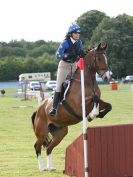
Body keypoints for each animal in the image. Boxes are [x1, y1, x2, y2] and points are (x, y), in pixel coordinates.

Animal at [30, 42, 111, 171]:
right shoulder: (79, 106)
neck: (86, 81)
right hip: (41, 132)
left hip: (60, 132)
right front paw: (92, 115)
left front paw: (98, 114)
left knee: (49, 147)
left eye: (106, 58)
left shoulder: (97, 101)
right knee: (37, 146)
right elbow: (94, 99)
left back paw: (50, 167)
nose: (107, 77)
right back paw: (42, 168)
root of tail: (38, 110)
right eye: (99, 58)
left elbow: (107, 105)